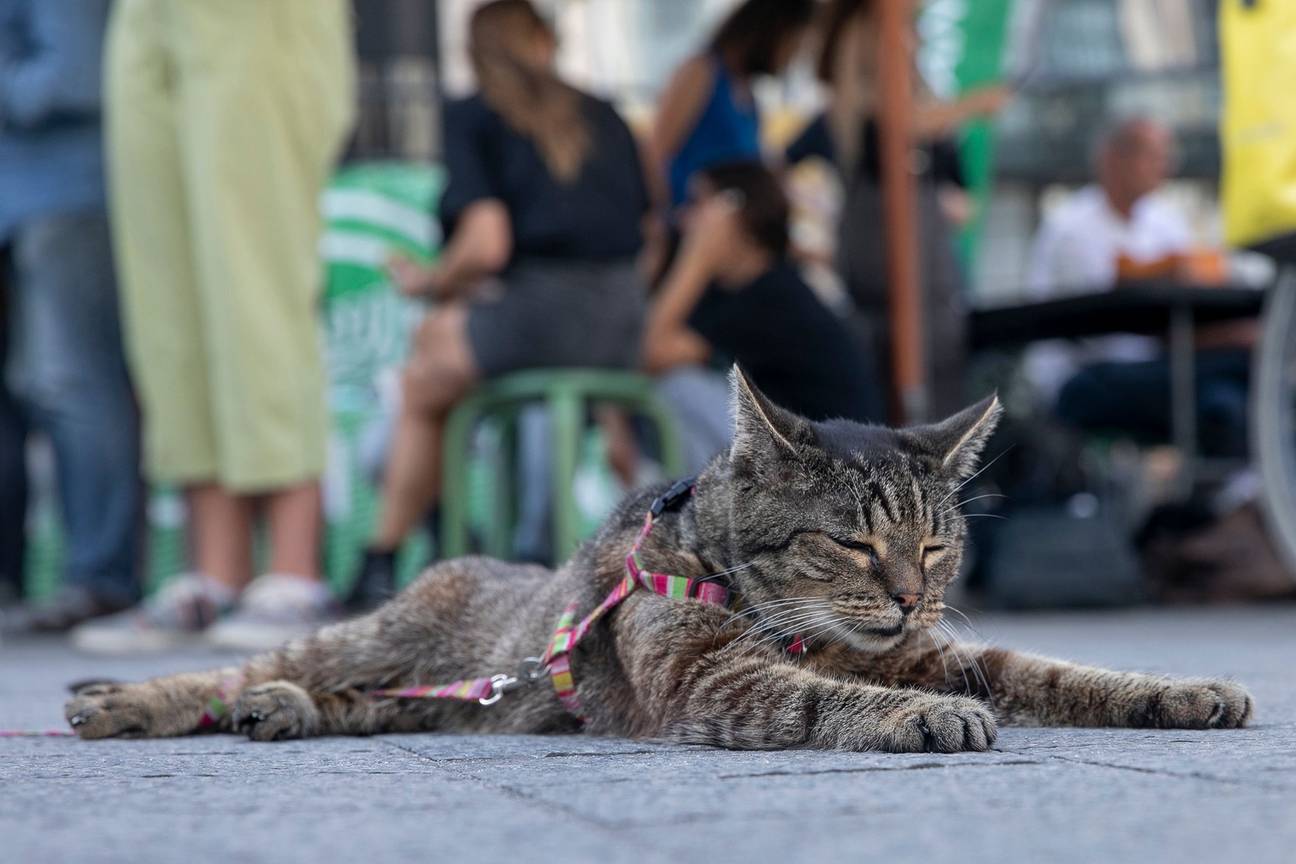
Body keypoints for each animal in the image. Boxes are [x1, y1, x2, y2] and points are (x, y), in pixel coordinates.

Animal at [65, 373, 1249, 751]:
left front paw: (1184, 690)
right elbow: (826, 697)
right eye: (853, 542)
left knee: (358, 704)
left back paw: (281, 713)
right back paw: (127, 701)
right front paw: (917, 718)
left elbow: (1062, 673)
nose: (914, 600)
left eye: (935, 544)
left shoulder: (950, 650)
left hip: (432, 698)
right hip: (373, 634)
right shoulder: (710, 681)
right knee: (250, 670)